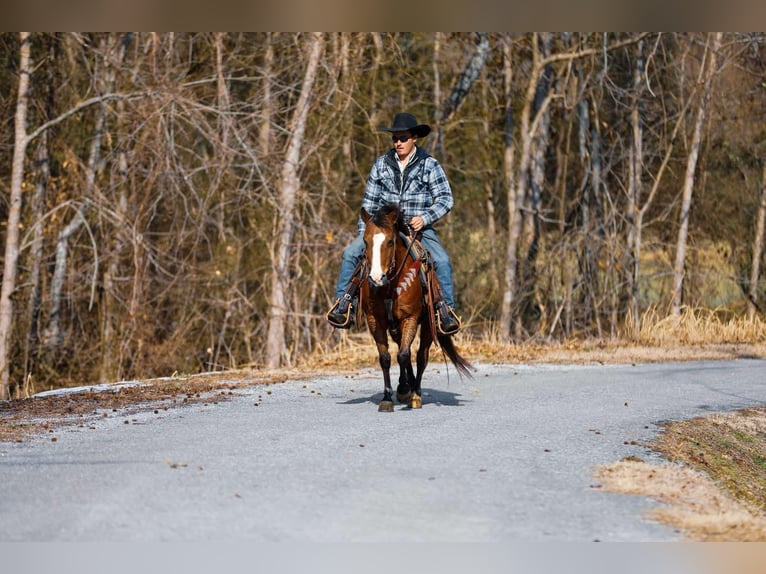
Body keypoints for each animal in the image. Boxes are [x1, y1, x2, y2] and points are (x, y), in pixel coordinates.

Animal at [359, 204, 473, 412]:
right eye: (365, 241)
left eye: (390, 242)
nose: (376, 278)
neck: (390, 286)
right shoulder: (375, 320)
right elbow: (386, 358)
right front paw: (387, 398)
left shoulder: (410, 318)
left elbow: (404, 355)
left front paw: (411, 394)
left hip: (428, 324)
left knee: (421, 356)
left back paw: (414, 393)